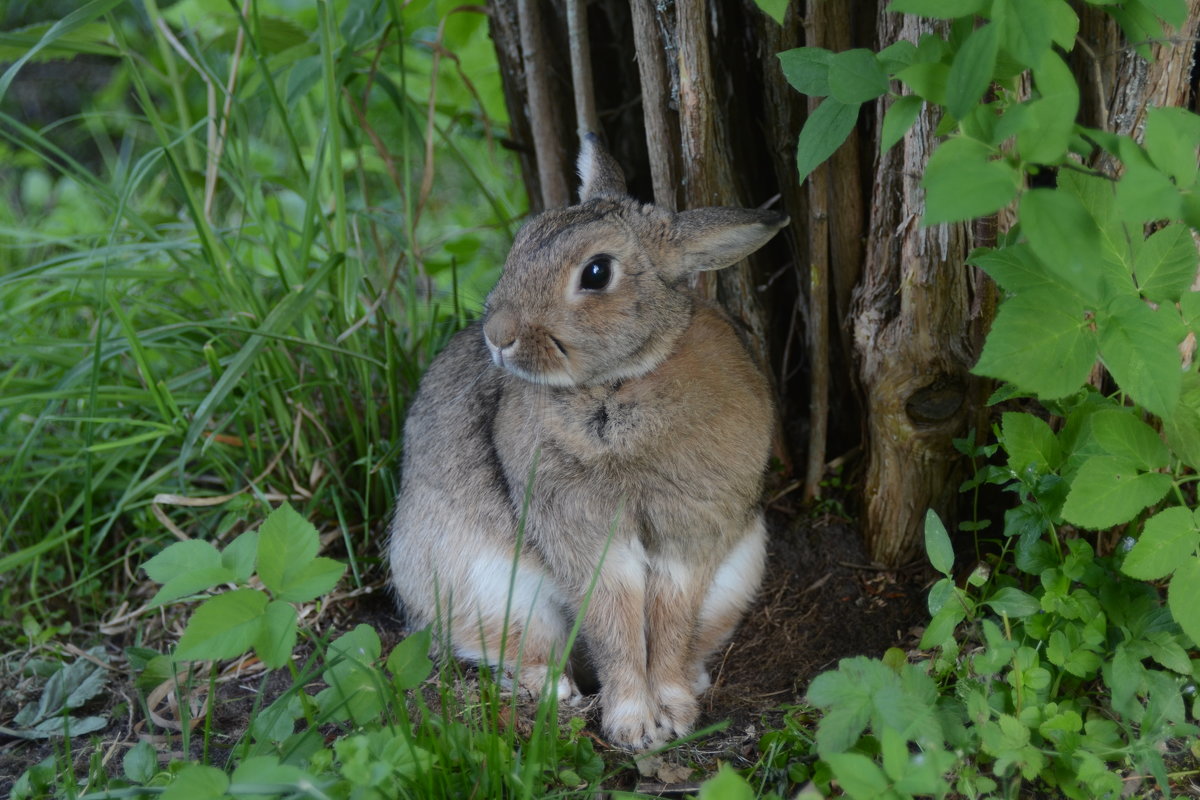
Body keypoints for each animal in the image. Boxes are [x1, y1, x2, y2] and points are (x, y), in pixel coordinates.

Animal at [388, 137, 787, 753]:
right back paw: (558, 693)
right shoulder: (582, 531)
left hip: (735, 581)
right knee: (520, 651)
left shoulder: (690, 534)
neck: (622, 381)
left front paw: (672, 712)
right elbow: (614, 620)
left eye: (597, 272)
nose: (498, 336)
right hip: (487, 590)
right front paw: (634, 724)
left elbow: (668, 623)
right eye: (525, 238)